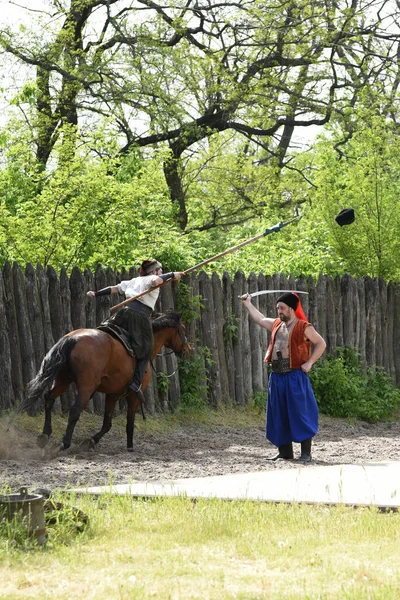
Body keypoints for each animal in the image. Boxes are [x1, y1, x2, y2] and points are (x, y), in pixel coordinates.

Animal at [22, 312, 190, 452]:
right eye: (182, 329)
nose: (187, 350)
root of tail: (72, 338)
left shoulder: (112, 394)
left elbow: (107, 422)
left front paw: (90, 441)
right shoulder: (133, 397)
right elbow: (129, 422)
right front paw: (130, 445)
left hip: (63, 380)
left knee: (49, 399)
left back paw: (44, 436)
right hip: (86, 387)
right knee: (75, 410)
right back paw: (64, 443)